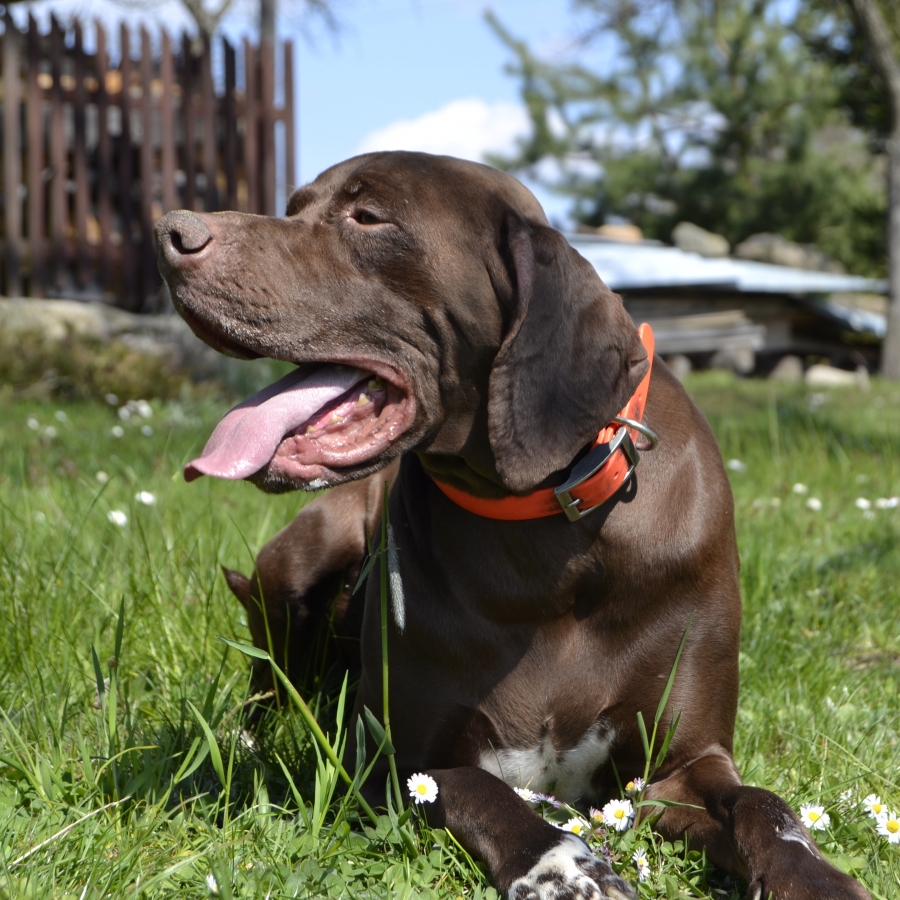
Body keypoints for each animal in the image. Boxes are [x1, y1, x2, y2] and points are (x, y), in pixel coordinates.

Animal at [156, 151, 870, 900]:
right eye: (295, 207)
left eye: (368, 216)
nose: (170, 232)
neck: (546, 529)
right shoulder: (400, 764)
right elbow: (487, 794)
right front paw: (563, 866)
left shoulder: (678, 768)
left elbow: (765, 805)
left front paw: (815, 875)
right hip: (297, 561)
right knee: (269, 682)